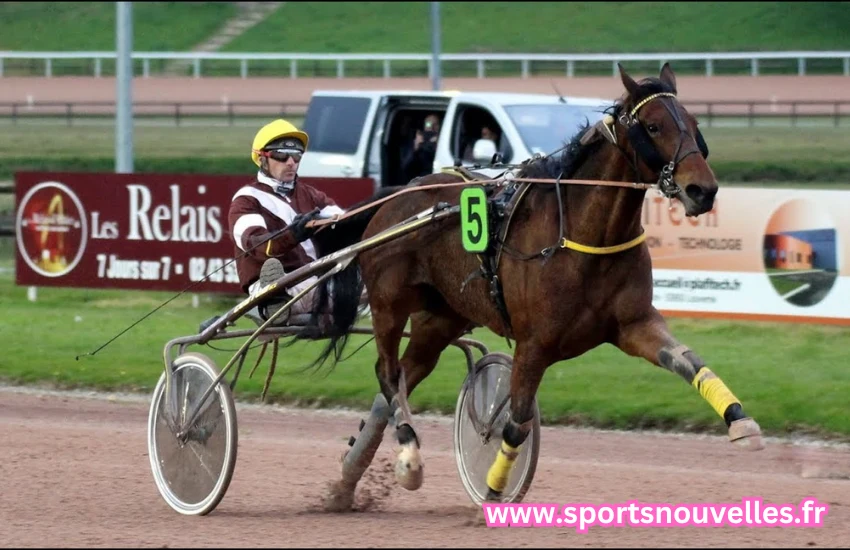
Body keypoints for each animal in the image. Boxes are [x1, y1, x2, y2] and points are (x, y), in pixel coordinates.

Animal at [308, 63, 760, 508]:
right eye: (652, 126)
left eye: (693, 123)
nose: (702, 190)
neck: (584, 237)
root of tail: (395, 197)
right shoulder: (534, 344)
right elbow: (516, 423)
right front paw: (493, 488)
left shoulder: (634, 325)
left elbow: (690, 362)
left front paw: (741, 422)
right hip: (389, 304)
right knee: (387, 372)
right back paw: (409, 458)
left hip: (441, 317)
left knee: (401, 379)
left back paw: (347, 479)